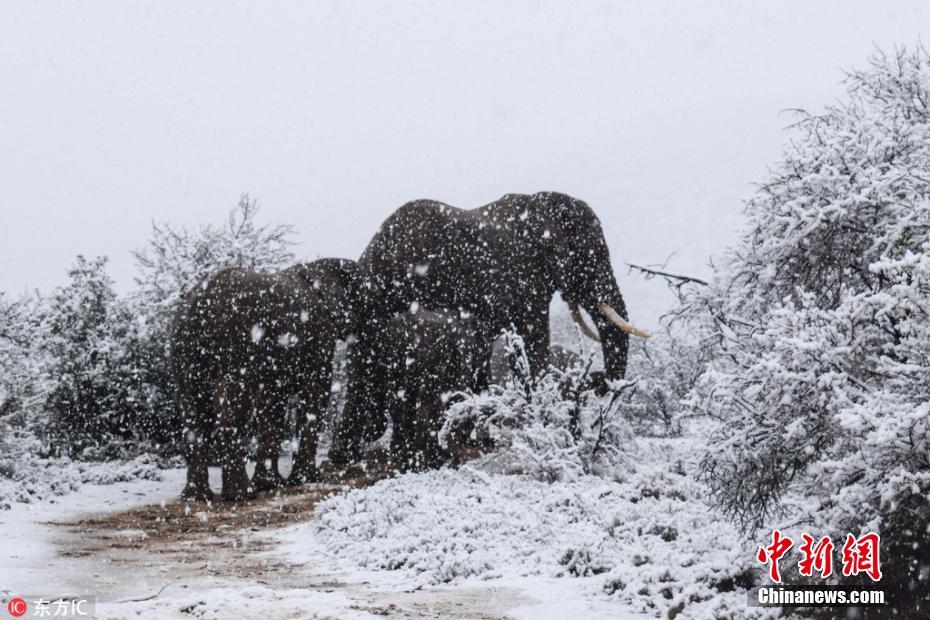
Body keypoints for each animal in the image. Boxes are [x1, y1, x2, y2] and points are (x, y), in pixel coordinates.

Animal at [169, 260, 358, 502]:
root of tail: (198, 303)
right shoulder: (319, 340)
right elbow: (315, 396)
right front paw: (309, 478)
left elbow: (271, 404)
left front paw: (270, 484)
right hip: (239, 348)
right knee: (234, 409)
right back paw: (242, 495)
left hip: (184, 352)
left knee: (193, 415)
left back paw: (197, 498)